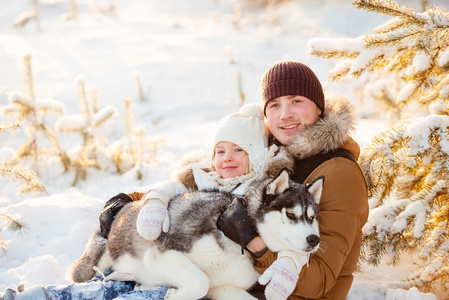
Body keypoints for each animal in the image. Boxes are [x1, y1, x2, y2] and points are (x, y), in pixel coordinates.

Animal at [70, 171, 322, 300]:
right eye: (291, 214)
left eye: (312, 217)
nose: (314, 239)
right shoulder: (162, 251)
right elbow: (201, 280)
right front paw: (174, 295)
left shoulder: (223, 287)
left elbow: (210, 285)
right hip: (93, 261)